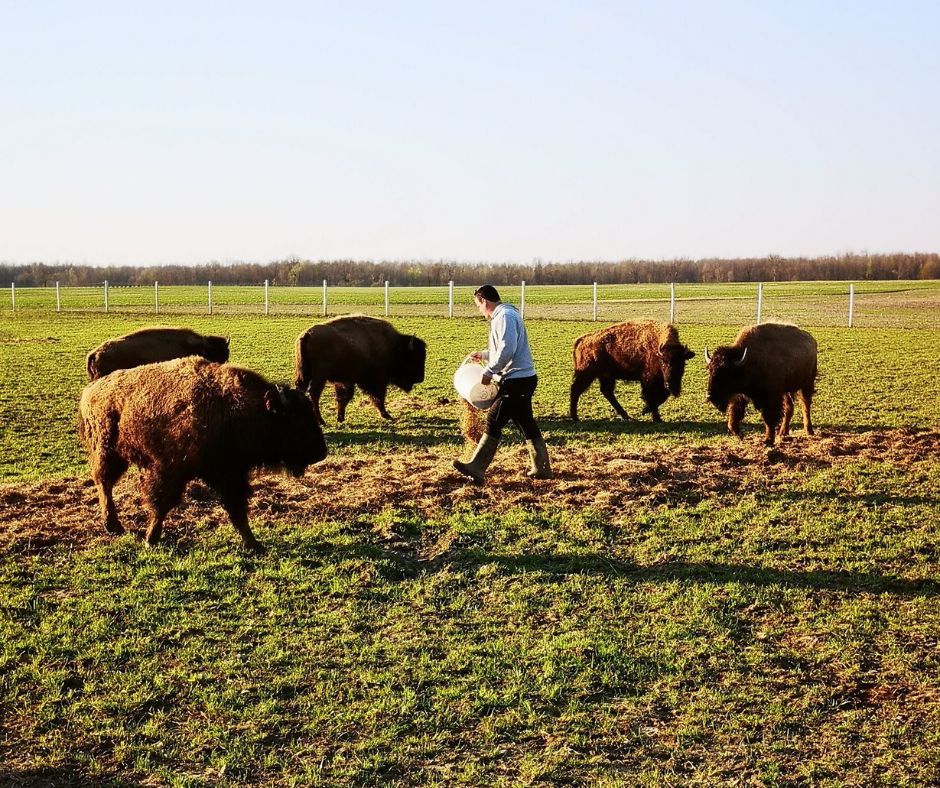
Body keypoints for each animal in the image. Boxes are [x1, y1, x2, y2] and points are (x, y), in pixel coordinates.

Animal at [78, 354, 326, 552]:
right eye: (295, 420)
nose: (321, 452)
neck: (235, 408)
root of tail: (90, 391)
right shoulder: (171, 471)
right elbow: (162, 504)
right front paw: (151, 539)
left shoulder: (230, 474)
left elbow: (238, 510)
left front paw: (254, 544)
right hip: (107, 453)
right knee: (104, 484)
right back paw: (113, 525)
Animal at [294, 314, 426, 424]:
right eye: (413, 358)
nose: (421, 378)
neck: (393, 348)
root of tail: (307, 334)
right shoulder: (377, 381)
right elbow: (378, 397)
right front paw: (387, 415)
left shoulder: (345, 381)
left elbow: (343, 397)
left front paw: (340, 418)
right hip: (320, 376)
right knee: (314, 393)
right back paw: (321, 421)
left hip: (304, 374)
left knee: (301, 389)